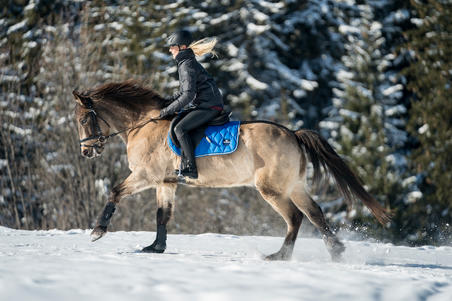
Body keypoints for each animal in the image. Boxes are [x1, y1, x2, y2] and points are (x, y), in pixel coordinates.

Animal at [72, 79, 390, 260]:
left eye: (83, 119)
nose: (87, 151)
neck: (143, 124)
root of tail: (293, 134)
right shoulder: (166, 182)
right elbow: (163, 215)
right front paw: (156, 248)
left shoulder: (145, 177)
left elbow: (115, 192)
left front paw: (98, 231)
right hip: (294, 186)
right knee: (316, 214)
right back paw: (336, 251)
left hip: (272, 189)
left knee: (295, 218)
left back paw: (279, 256)